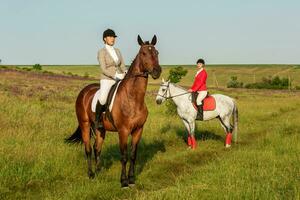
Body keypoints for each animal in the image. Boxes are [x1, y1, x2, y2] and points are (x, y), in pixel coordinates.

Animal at [65, 34, 162, 188]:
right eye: (143, 53)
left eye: (156, 52)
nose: (157, 71)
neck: (133, 98)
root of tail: (84, 91)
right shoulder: (123, 131)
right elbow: (124, 156)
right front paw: (123, 181)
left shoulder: (138, 129)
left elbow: (133, 155)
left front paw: (132, 179)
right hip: (85, 124)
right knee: (88, 149)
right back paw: (91, 174)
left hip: (100, 129)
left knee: (97, 148)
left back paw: (99, 171)